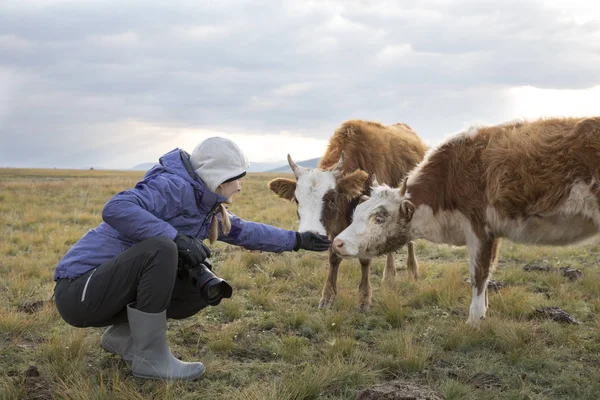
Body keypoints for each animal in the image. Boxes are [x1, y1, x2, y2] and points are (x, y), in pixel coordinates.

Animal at [268, 120, 426, 310]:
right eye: (298, 200)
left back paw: (412, 271)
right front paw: (327, 296)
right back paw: (388, 276)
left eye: (331, 199)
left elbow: (364, 259)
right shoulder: (334, 228)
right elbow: (333, 257)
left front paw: (364, 298)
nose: (310, 234)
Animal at [330, 115, 600, 324]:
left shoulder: (478, 227)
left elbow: (478, 274)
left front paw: (474, 320)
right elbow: (487, 273)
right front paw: (483, 313)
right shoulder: (492, 233)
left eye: (379, 217)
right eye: (357, 212)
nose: (338, 243)